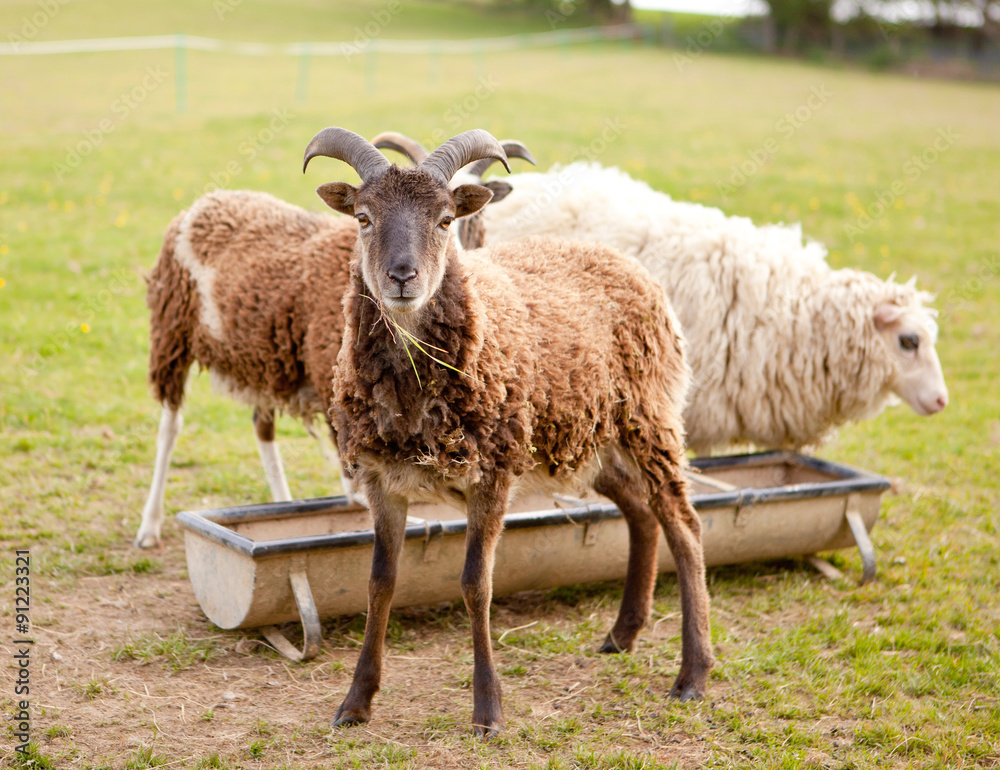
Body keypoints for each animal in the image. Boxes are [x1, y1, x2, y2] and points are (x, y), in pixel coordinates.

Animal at [136, 139, 537, 549]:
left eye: (450, 218)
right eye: (363, 217)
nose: (407, 277)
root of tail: (206, 202)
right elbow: (356, 491)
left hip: (262, 359)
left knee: (261, 426)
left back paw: (282, 504)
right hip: (171, 334)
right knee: (170, 426)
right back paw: (148, 528)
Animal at [303, 127, 714, 738]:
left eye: (446, 219)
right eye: (363, 218)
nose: (402, 278)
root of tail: (622, 259)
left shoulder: (492, 473)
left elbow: (477, 584)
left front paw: (488, 712)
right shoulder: (382, 480)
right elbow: (379, 582)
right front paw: (355, 704)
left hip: (650, 418)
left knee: (684, 524)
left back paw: (692, 675)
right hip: (587, 443)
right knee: (642, 513)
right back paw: (621, 635)